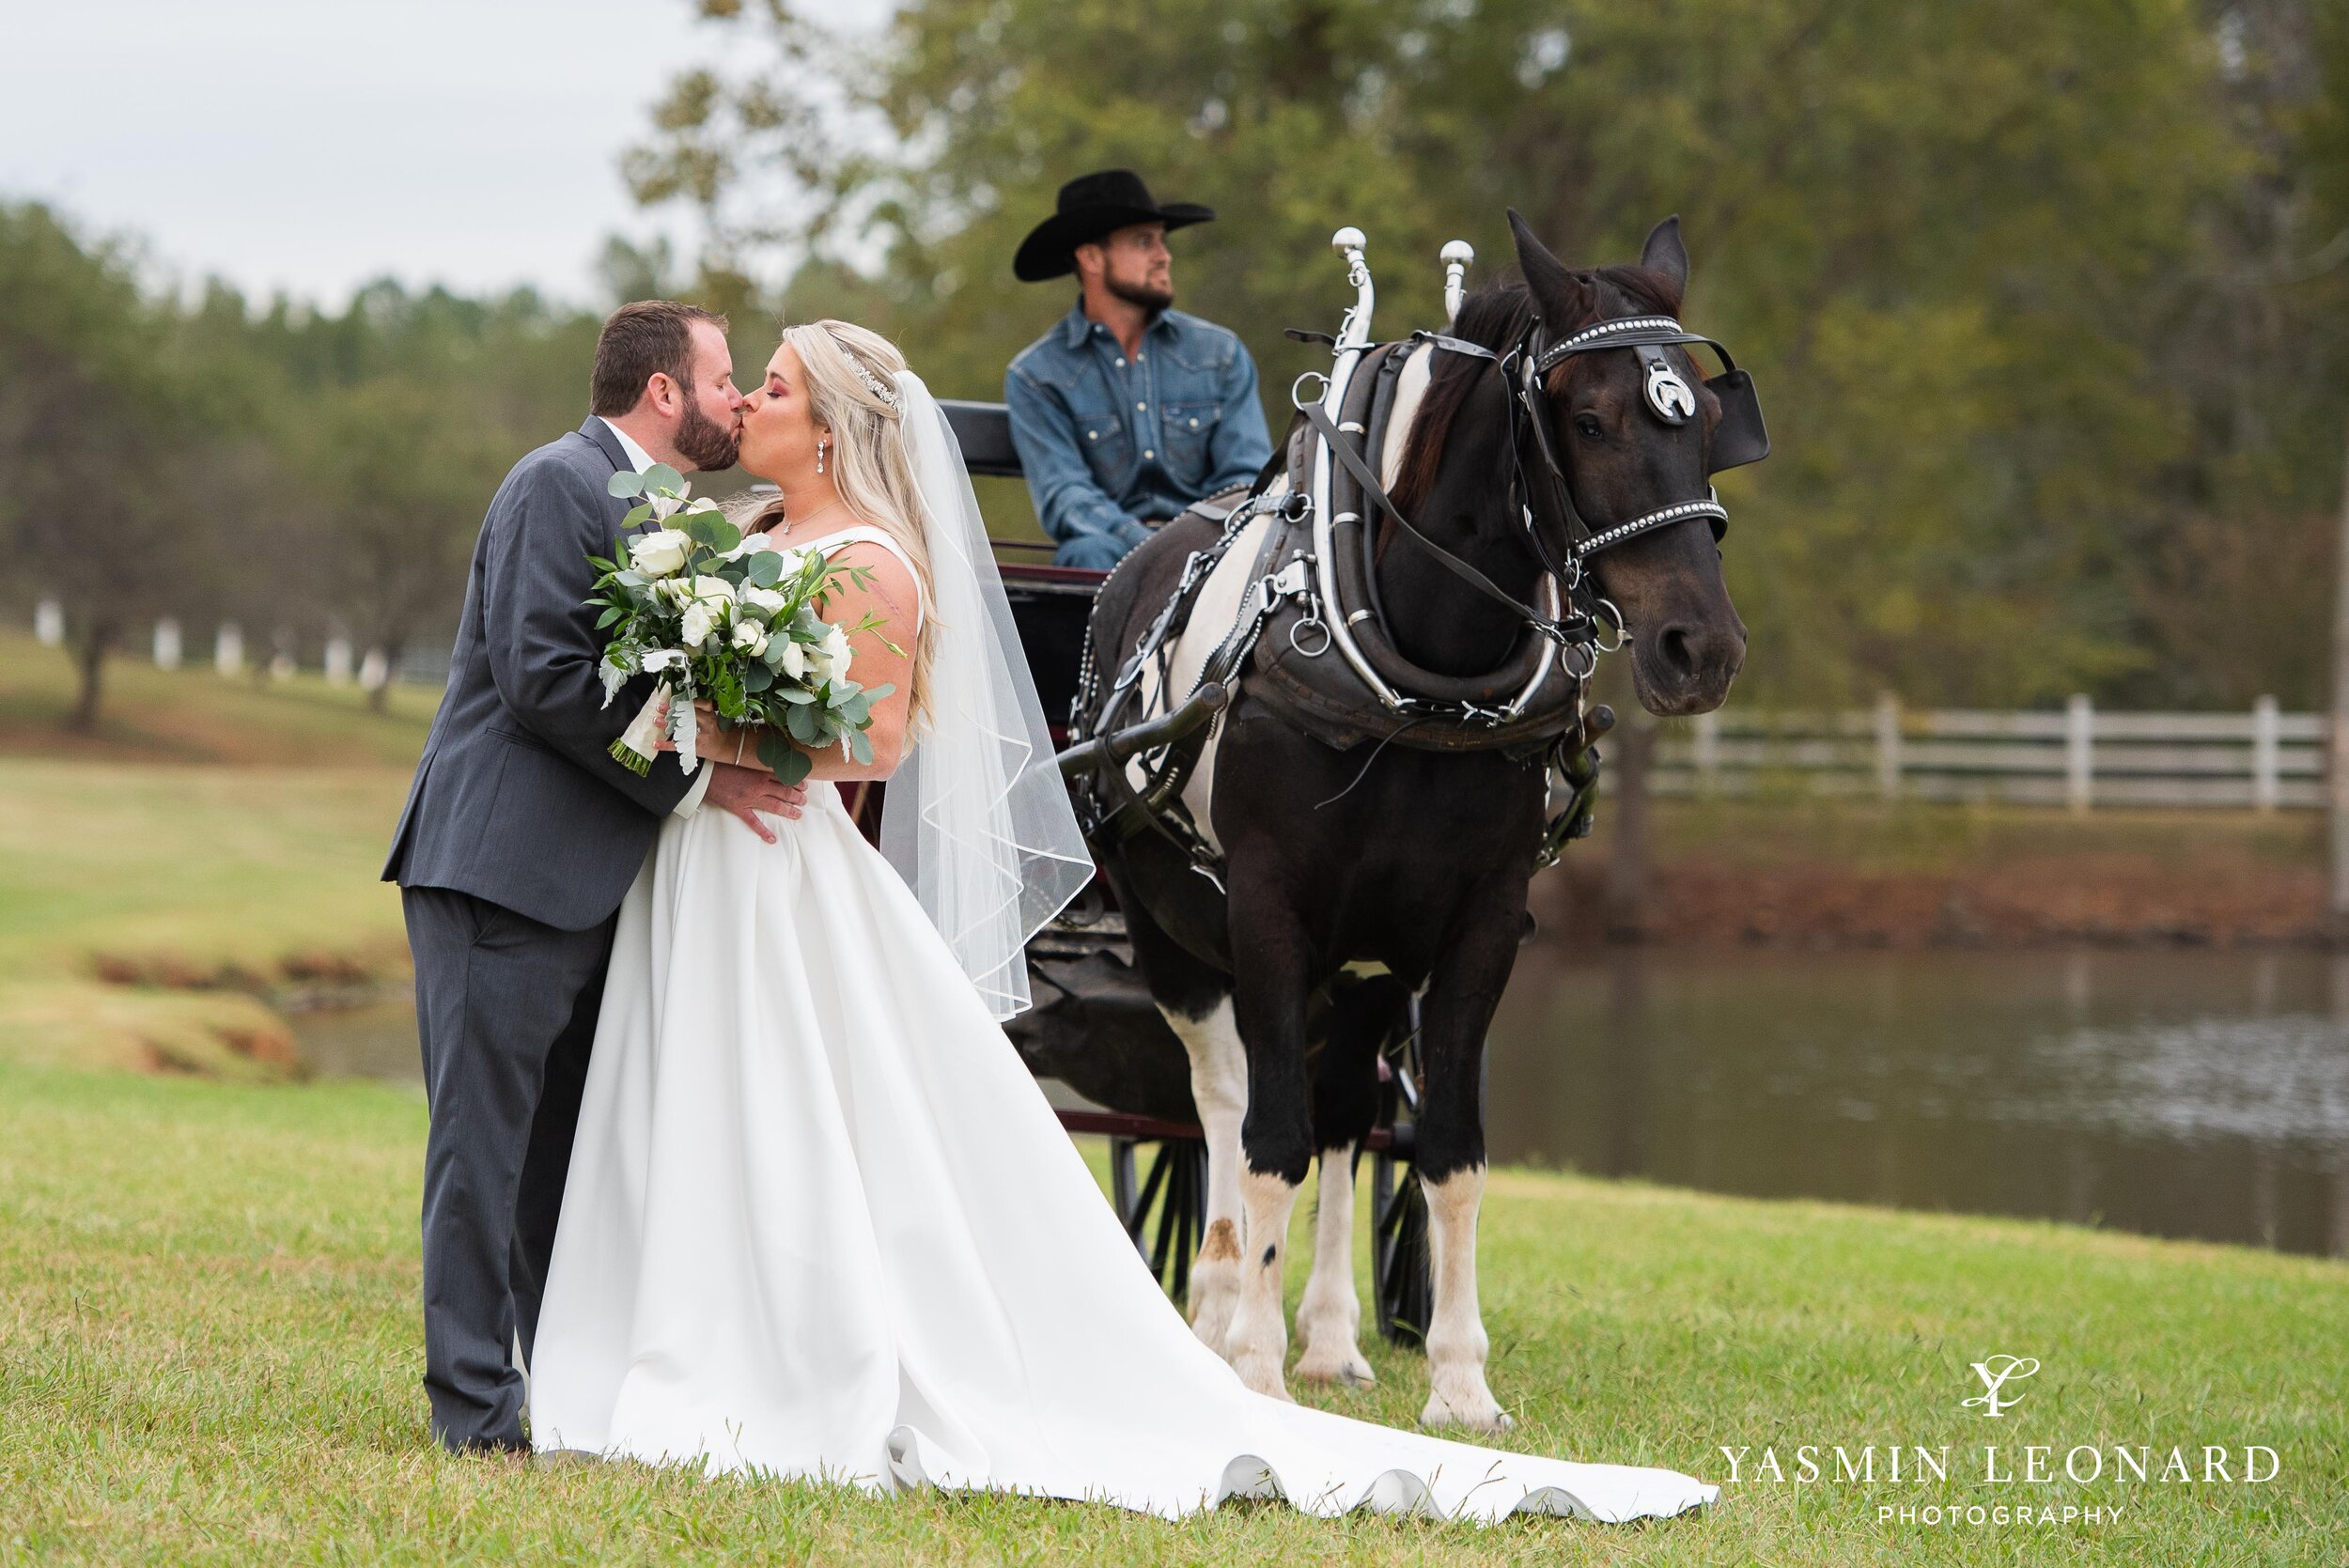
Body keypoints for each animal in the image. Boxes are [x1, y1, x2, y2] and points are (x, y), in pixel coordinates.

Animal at [1081, 214, 1748, 1427]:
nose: (1701, 649)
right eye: (1588, 417)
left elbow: (1447, 1148)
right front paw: (1252, 1366)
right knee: (1220, 1101)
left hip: (1368, 966)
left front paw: (1458, 1383)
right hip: (1173, 931)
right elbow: (1266, 1138)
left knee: (1346, 1112)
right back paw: (1217, 1312)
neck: (1414, 670)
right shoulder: (1267, 916)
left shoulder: (1475, 926)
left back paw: (1331, 1339)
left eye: (1712, 424)